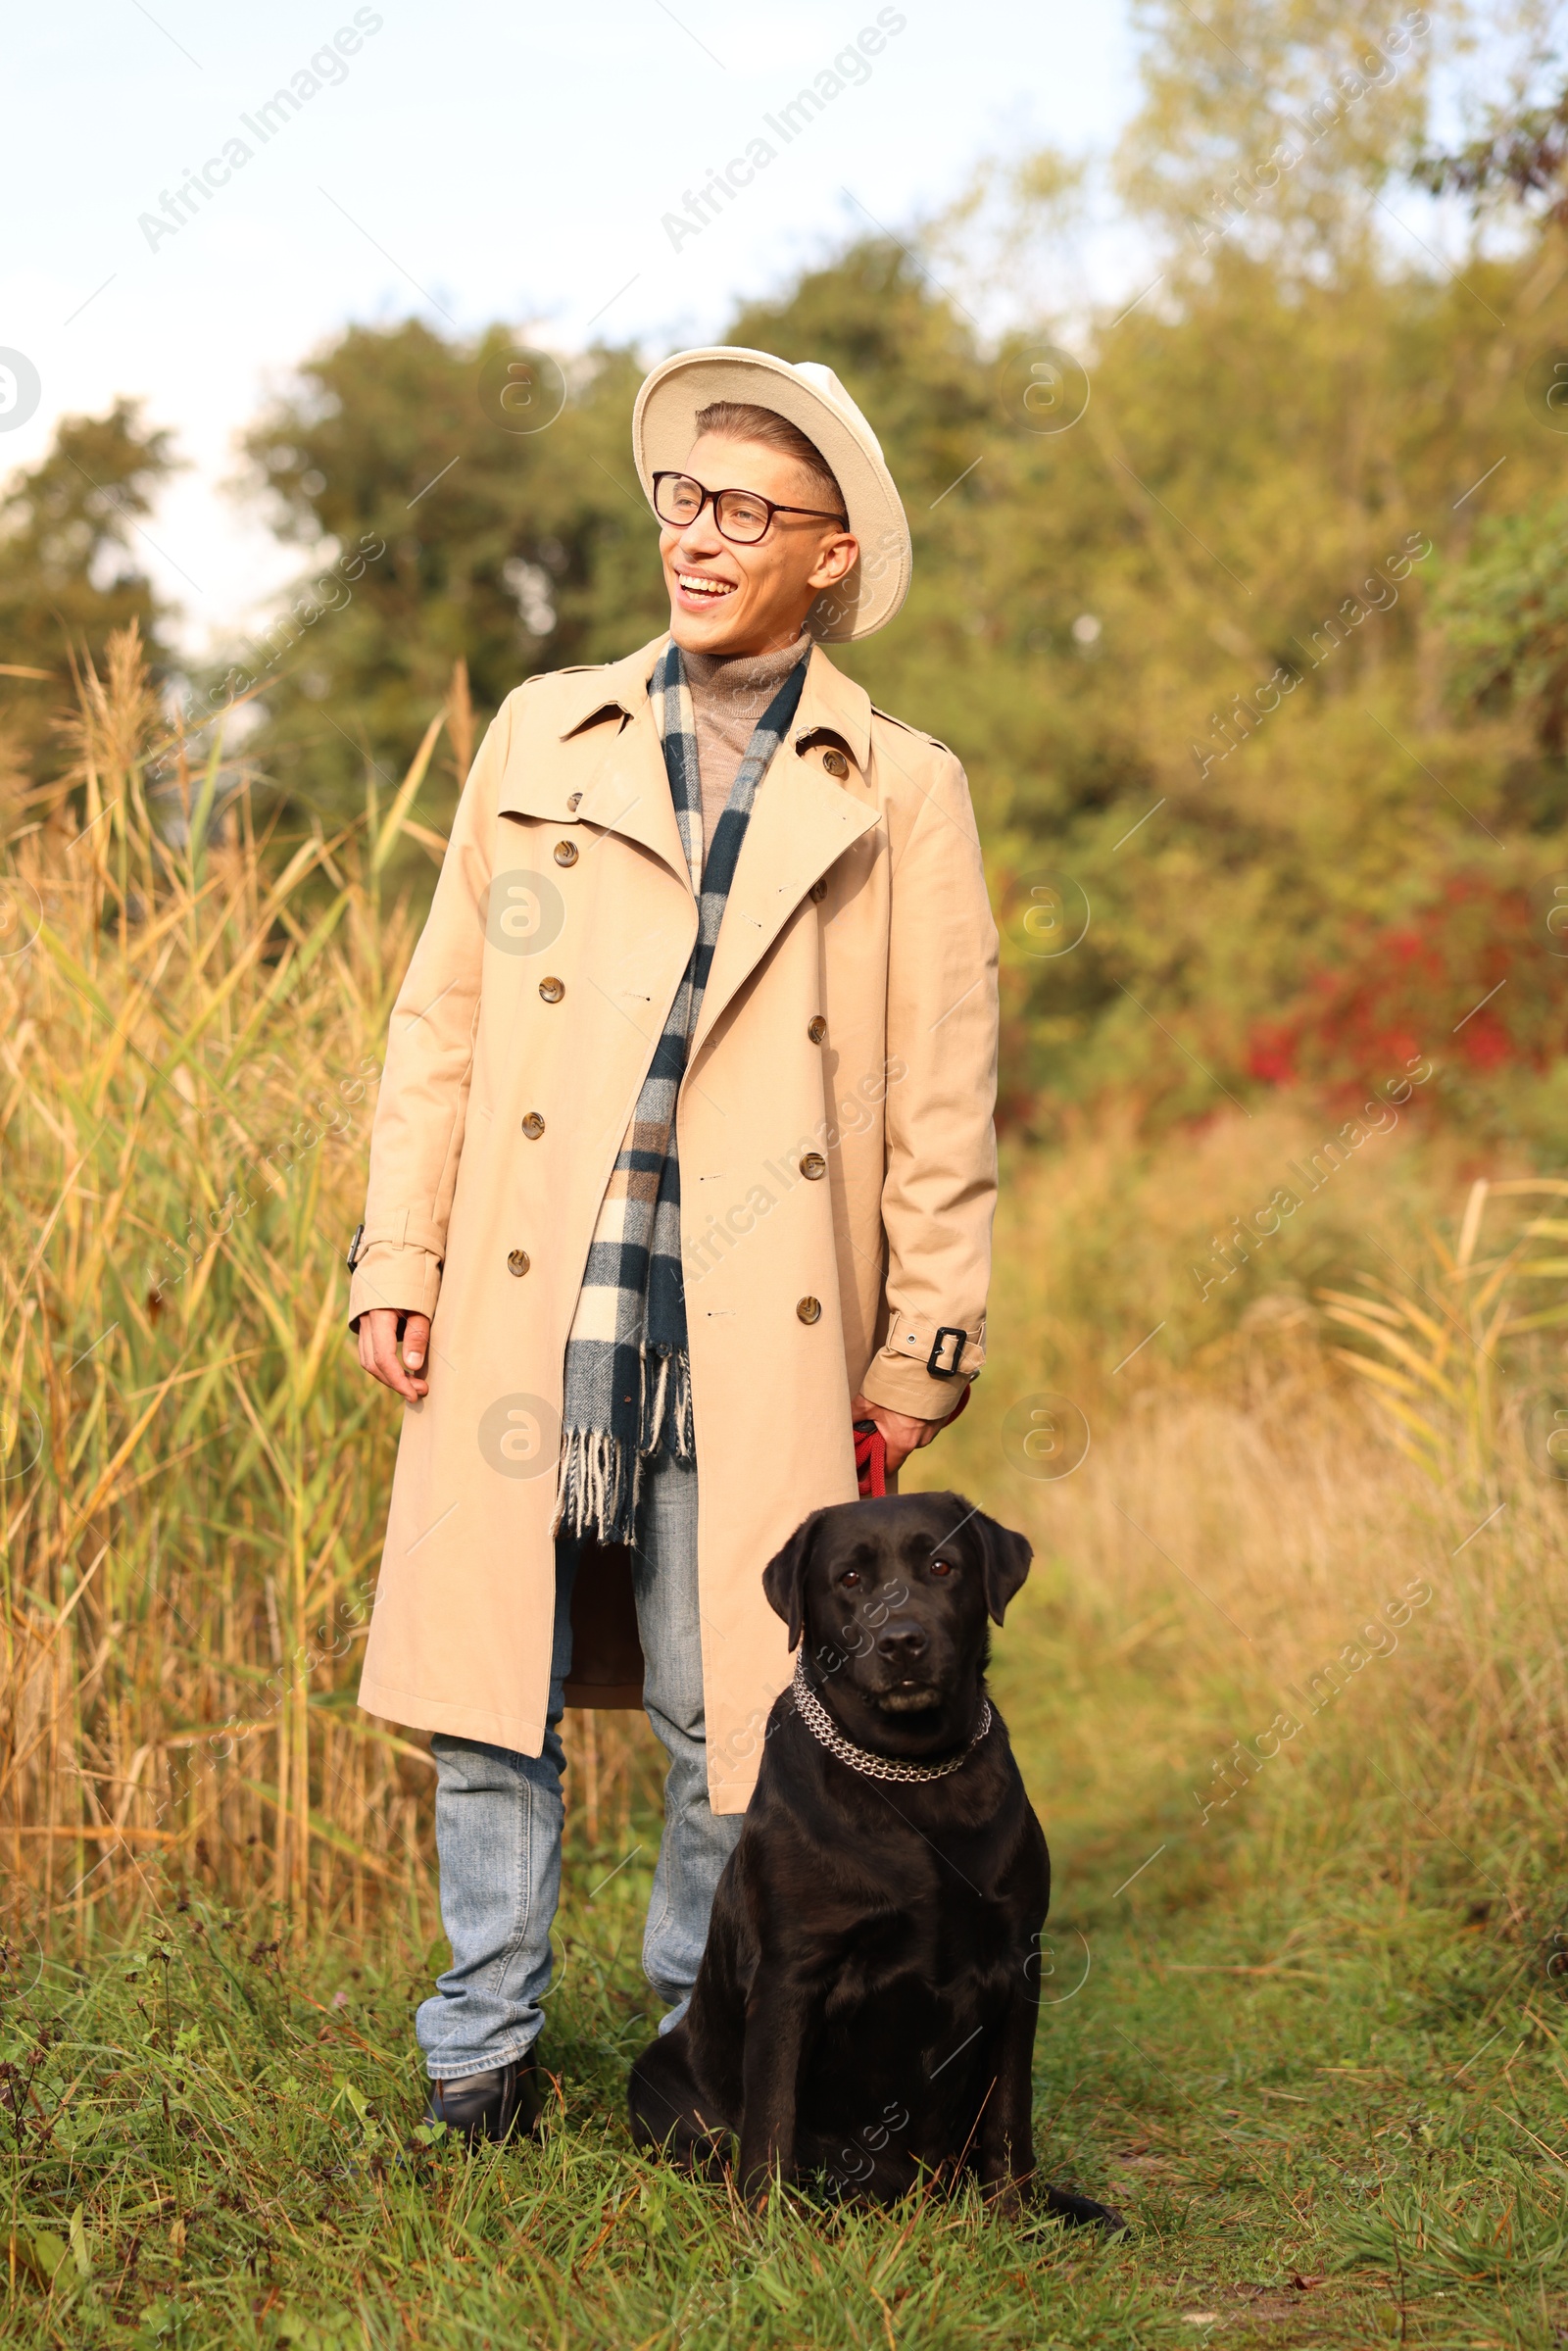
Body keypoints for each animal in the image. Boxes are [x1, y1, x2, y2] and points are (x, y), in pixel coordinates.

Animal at [629, 1486, 1123, 2219]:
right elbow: (771, 2116)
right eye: (850, 1579)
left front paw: (1016, 2220)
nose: (902, 1641)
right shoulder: (791, 1973)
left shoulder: (1018, 1960)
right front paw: (768, 2222)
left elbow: (1011, 2111)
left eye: (942, 1566)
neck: (913, 1774)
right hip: (655, 2079)